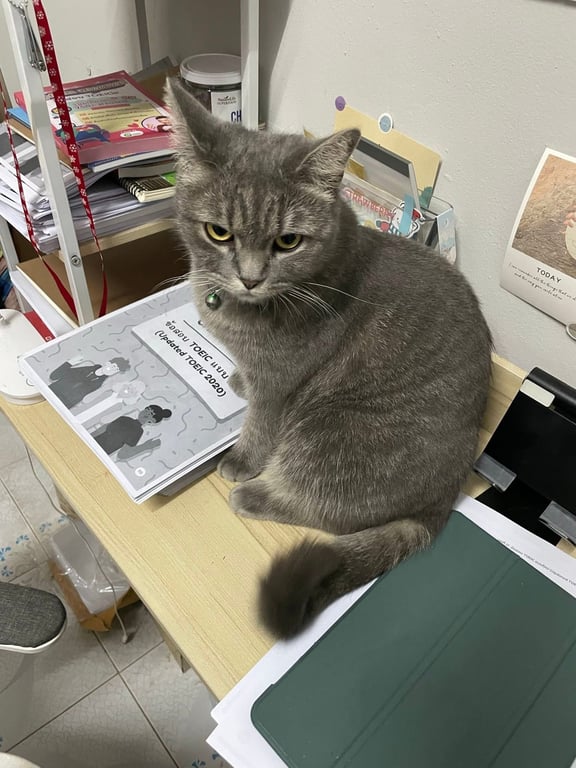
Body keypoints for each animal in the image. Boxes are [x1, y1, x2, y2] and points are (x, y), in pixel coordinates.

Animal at [165, 79, 493, 639]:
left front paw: (241, 460)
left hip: (332, 430)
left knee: (324, 504)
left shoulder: (280, 385)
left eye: (288, 241)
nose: (249, 277)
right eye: (219, 233)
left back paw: (254, 494)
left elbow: (260, 425)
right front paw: (237, 378)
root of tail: (441, 504)